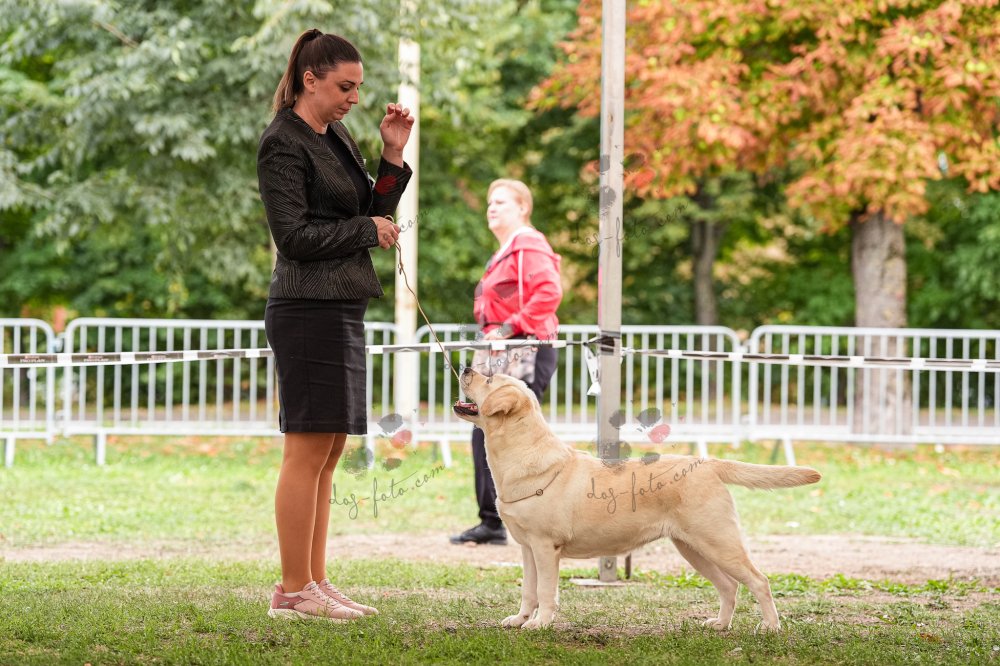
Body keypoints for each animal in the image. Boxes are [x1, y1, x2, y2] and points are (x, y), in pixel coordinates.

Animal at [453, 367, 821, 631]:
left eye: (488, 379)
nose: (466, 367)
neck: (521, 453)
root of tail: (708, 463)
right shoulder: (528, 548)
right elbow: (528, 590)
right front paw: (519, 619)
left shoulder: (546, 547)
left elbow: (545, 591)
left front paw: (540, 624)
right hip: (694, 549)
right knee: (729, 586)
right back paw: (720, 624)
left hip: (720, 542)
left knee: (759, 581)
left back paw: (770, 627)